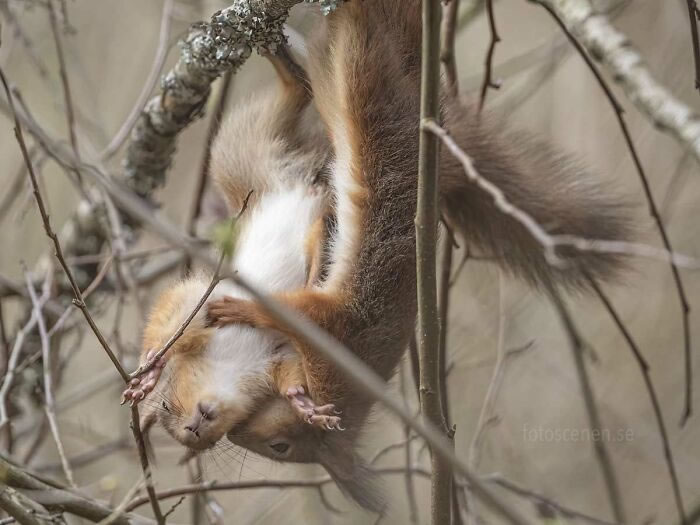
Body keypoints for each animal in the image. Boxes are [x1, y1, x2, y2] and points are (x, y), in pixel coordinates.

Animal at [123, 0, 632, 510]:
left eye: (279, 447)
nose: (197, 432)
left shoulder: (334, 324)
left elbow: (280, 315)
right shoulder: (286, 335)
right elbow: (178, 315)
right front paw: (155, 369)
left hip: (349, 86)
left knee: (340, 63)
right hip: (250, 155)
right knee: (303, 94)